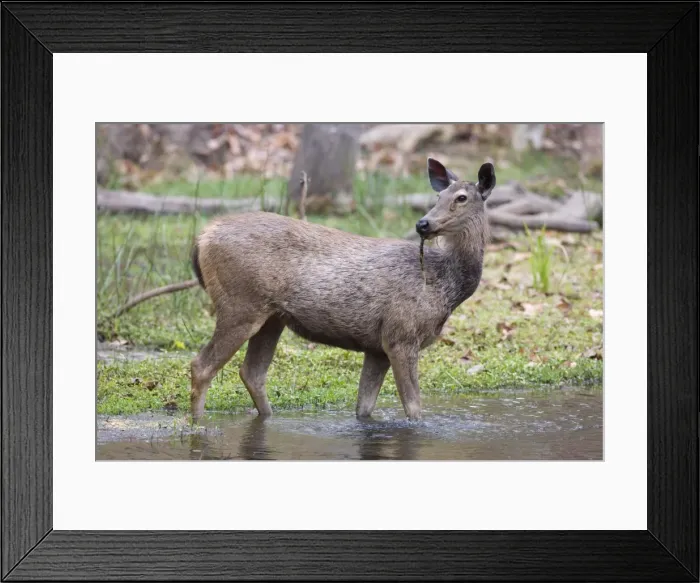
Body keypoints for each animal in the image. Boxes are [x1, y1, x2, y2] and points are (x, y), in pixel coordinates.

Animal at [189, 158, 495, 422]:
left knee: (252, 373)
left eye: (461, 198)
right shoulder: (401, 334)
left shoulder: (377, 347)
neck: (446, 288)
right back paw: (198, 424)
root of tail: (203, 237)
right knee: (202, 366)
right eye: (438, 197)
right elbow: (413, 409)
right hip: (240, 304)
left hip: (272, 318)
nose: (423, 223)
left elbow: (364, 409)